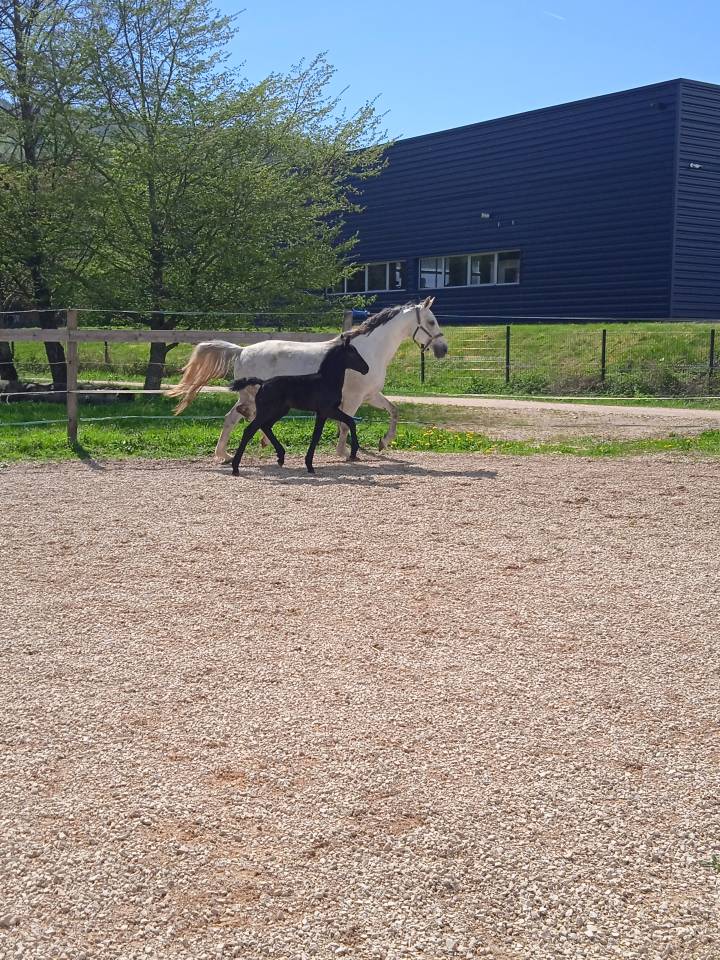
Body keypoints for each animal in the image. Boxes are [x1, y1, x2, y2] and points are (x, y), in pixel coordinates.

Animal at [166, 297, 448, 460]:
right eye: (431, 322)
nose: (442, 349)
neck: (368, 351)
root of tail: (241, 351)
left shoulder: (370, 396)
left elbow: (394, 411)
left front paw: (382, 443)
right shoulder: (354, 398)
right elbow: (346, 425)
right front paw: (344, 453)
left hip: (250, 397)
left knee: (232, 419)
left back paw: (225, 454)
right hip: (255, 398)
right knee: (244, 419)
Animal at [230, 339, 370, 475]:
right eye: (352, 353)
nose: (366, 368)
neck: (327, 381)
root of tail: (263, 383)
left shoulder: (324, 412)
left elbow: (340, 425)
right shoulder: (327, 410)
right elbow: (336, 427)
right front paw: (352, 453)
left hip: (279, 411)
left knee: (266, 426)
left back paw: (281, 457)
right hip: (267, 412)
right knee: (249, 430)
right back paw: (235, 467)